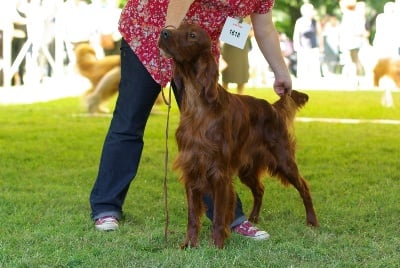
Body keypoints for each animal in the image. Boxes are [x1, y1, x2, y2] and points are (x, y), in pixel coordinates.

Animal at [158, 23, 318, 249]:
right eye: (178, 27)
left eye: (192, 35)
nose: (164, 32)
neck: (199, 107)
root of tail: (273, 107)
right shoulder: (192, 169)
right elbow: (192, 217)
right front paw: (189, 244)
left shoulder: (219, 172)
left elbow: (218, 216)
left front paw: (217, 245)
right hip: (247, 168)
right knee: (260, 189)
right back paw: (253, 218)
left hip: (284, 160)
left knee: (303, 186)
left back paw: (312, 221)